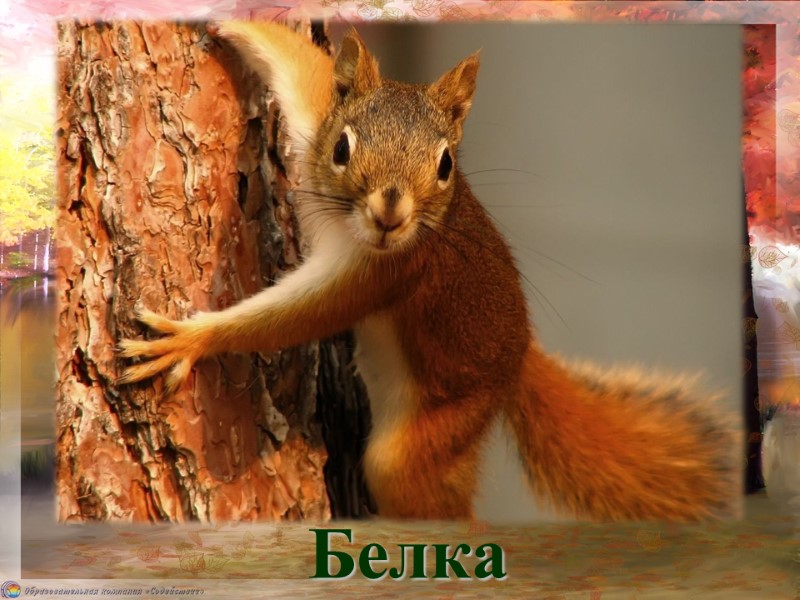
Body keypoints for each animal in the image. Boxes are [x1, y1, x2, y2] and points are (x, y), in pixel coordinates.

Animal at [119, 21, 737, 521]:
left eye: (445, 164)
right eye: (341, 148)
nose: (390, 214)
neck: (345, 224)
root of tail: (518, 359)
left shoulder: (386, 273)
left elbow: (296, 317)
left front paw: (192, 339)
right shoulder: (314, 119)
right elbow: (300, 65)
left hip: (436, 433)